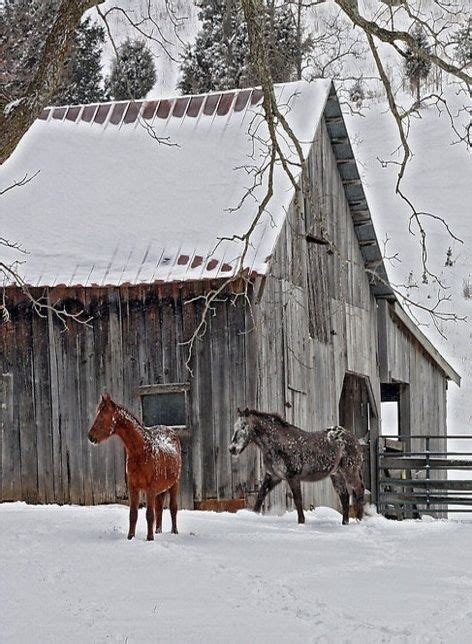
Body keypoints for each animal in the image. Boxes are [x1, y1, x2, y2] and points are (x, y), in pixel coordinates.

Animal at [87, 394, 182, 540]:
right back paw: (158, 531)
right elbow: (133, 514)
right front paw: (130, 537)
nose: (90, 437)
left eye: (102, 417)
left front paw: (149, 539)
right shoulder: (133, 488)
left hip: (174, 484)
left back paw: (174, 532)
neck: (141, 451)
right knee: (159, 508)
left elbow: (149, 515)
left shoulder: (150, 489)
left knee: (173, 508)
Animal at [229, 410, 366, 524]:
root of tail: (354, 438)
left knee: (359, 490)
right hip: (336, 474)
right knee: (344, 496)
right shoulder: (273, 476)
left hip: (349, 471)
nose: (232, 449)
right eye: (234, 427)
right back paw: (345, 523)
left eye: (243, 426)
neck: (278, 444)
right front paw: (253, 515)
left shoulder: (293, 477)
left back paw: (359, 520)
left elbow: (298, 500)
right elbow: (260, 495)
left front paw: (301, 522)